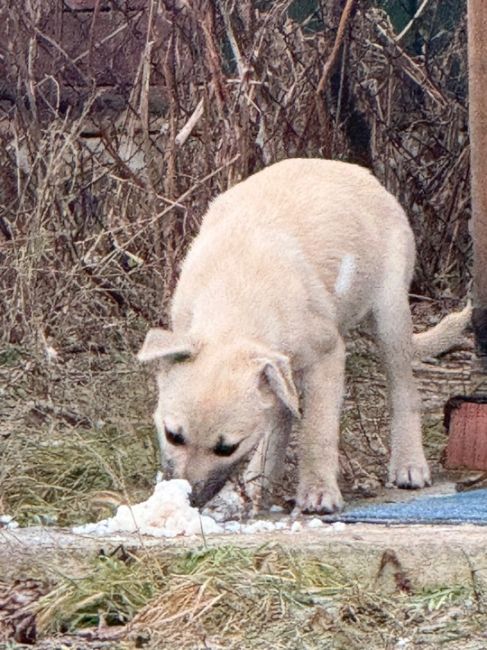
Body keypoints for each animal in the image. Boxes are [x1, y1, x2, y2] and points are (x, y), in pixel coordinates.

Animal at [138, 157, 472, 512]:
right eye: (173, 435)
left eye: (227, 448)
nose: (188, 499)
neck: (236, 297)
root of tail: (359, 172)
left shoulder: (327, 357)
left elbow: (317, 432)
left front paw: (318, 490)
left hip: (390, 315)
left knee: (403, 391)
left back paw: (409, 463)